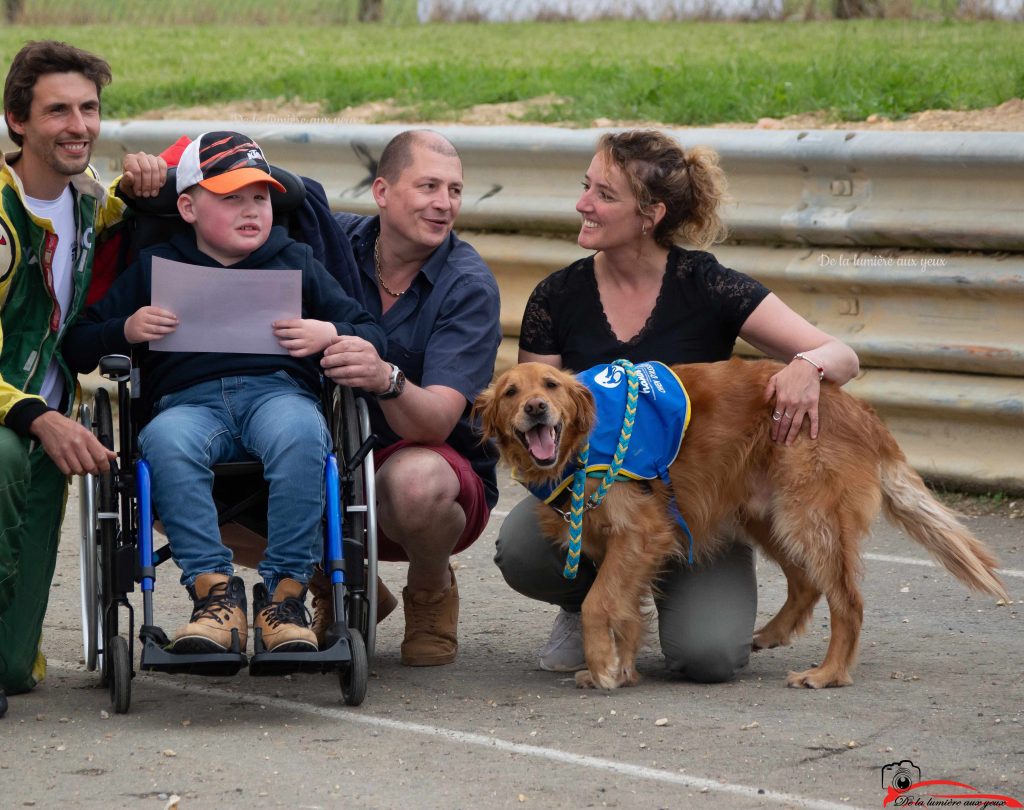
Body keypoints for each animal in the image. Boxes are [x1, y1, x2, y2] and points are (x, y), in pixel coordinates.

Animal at [477, 360, 1007, 692]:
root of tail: (859, 410)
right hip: (769, 517)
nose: (536, 408)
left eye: (550, 385)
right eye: (511, 392)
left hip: (807, 516)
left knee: (847, 601)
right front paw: (621, 667)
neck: (581, 447)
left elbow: (596, 604)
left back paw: (828, 673)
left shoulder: (640, 533)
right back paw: (772, 633)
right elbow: (624, 611)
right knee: (806, 584)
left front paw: (605, 667)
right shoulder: (618, 546)